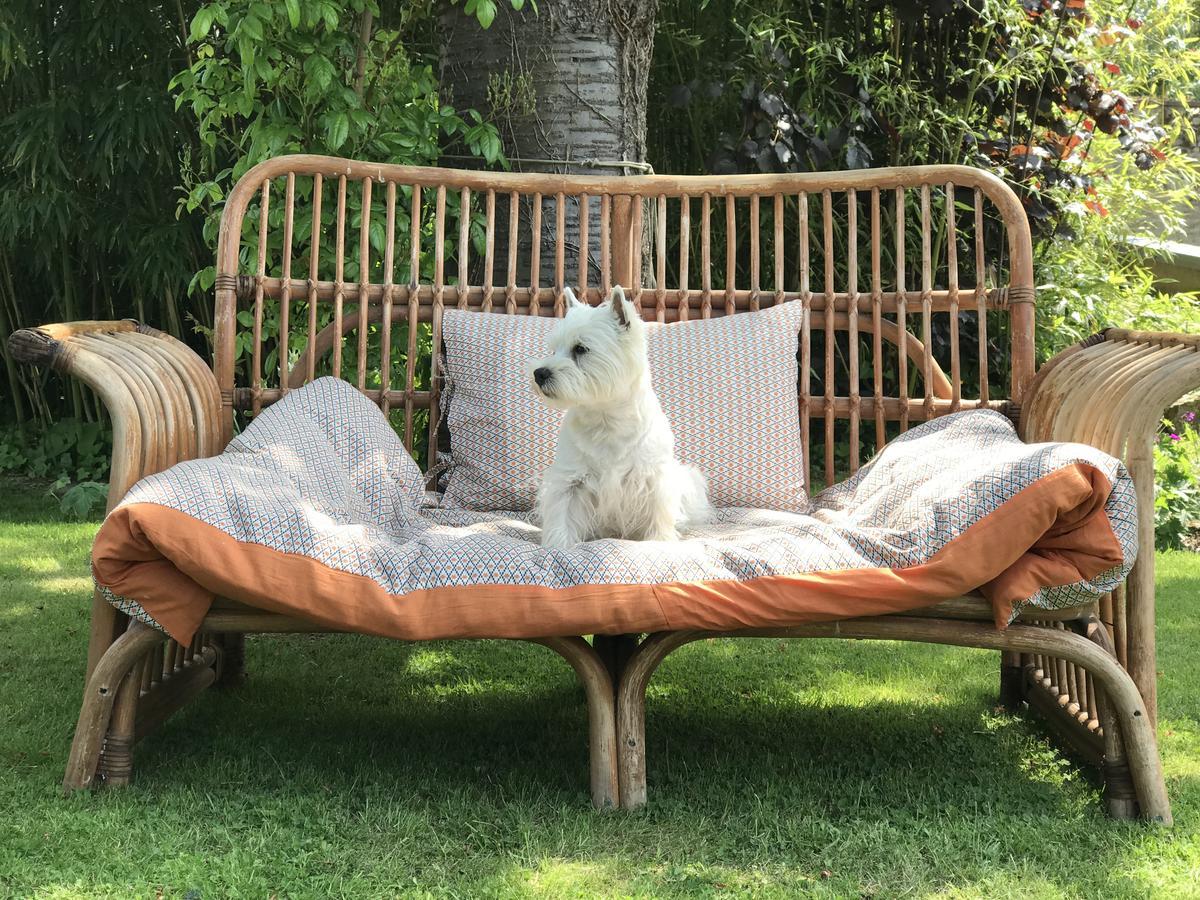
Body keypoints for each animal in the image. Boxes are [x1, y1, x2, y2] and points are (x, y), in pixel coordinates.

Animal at [528, 286, 710, 549]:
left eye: (580, 348)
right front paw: (557, 546)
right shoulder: (570, 480)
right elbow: (562, 514)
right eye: (554, 349)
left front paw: (661, 541)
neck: (606, 419)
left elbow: (659, 513)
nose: (539, 373)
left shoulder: (654, 478)